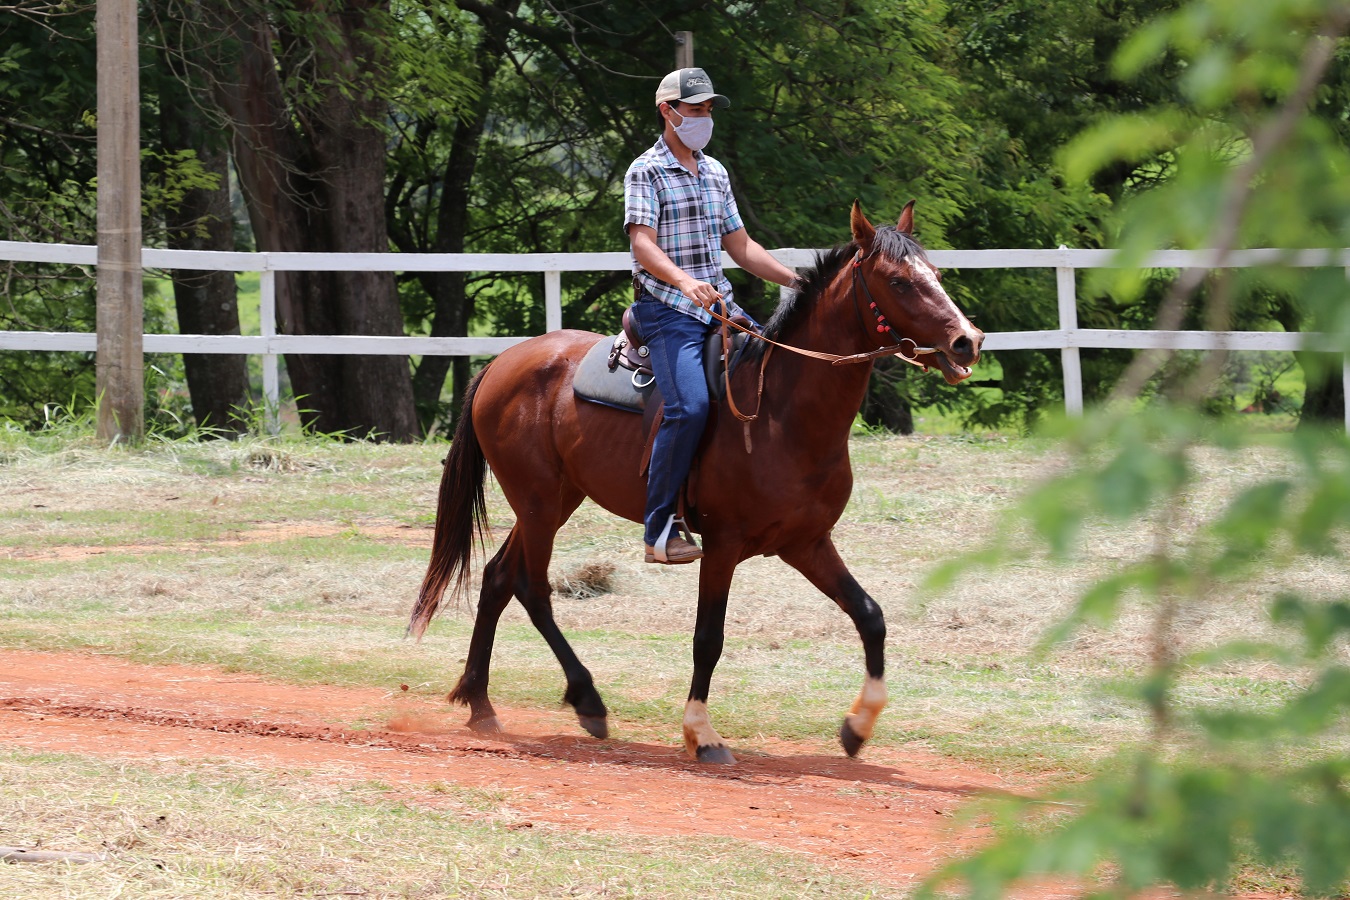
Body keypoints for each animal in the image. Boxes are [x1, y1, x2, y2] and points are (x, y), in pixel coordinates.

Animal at [405, 201, 988, 766]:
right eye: (899, 281)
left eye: (935, 273)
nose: (968, 341)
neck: (779, 411)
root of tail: (502, 362)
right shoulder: (723, 544)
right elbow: (708, 637)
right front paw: (701, 734)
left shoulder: (806, 542)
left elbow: (870, 616)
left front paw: (857, 726)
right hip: (539, 502)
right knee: (532, 587)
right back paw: (587, 700)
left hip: (554, 499)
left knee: (499, 578)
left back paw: (480, 703)